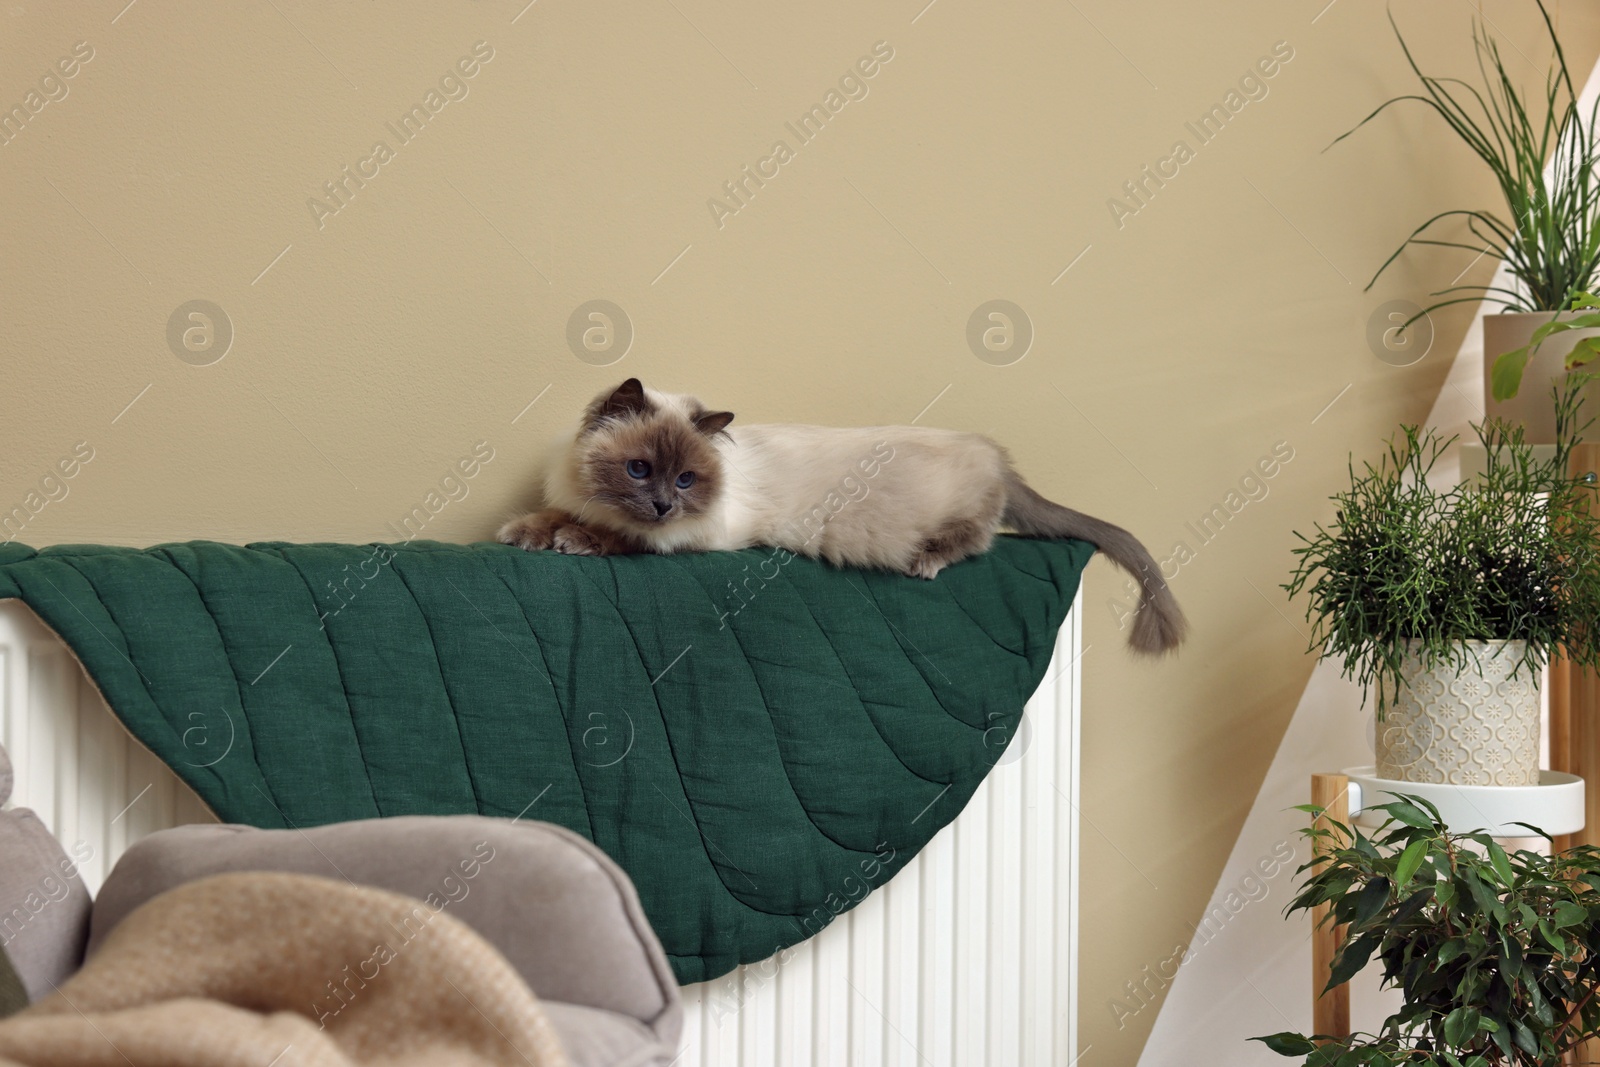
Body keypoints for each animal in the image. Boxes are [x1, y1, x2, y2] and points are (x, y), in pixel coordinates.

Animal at [499, 379, 1190, 655]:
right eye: (640, 470)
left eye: (687, 480)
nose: (663, 504)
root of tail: (991, 452)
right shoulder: (579, 498)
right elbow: (551, 514)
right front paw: (525, 533)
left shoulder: (689, 536)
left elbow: (614, 536)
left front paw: (572, 541)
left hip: (959, 518)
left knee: (980, 538)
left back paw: (927, 562)